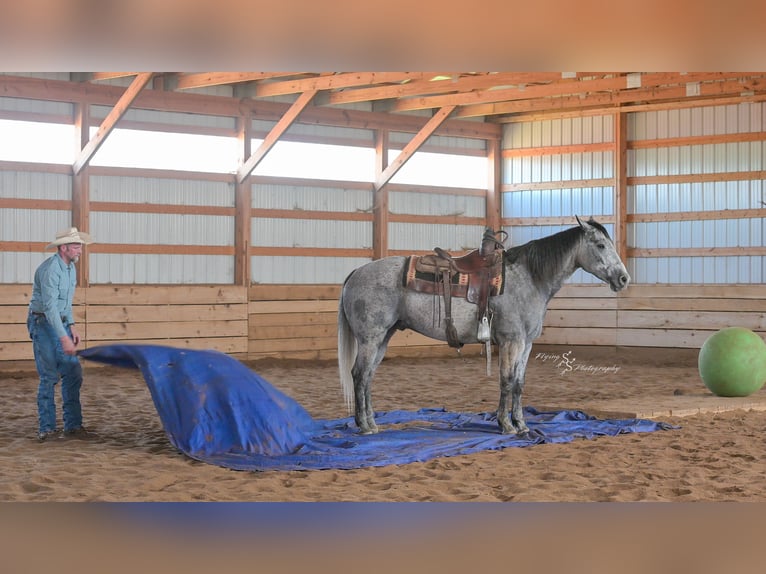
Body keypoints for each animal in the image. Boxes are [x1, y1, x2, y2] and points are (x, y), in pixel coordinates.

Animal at [337, 216, 630, 436]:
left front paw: (522, 424)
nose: (624, 278)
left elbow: (519, 383)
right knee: (359, 375)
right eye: (600, 245)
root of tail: (356, 273)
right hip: (370, 338)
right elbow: (507, 381)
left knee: (368, 377)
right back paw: (364, 426)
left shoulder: (527, 344)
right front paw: (506, 425)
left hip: (383, 338)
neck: (529, 277)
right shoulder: (512, 341)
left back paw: (372, 422)